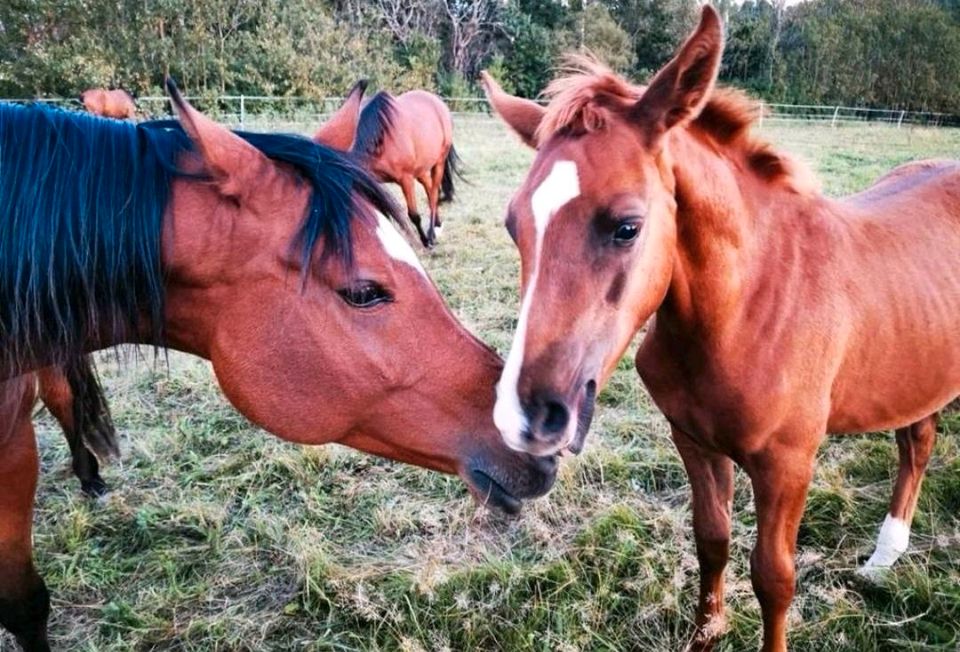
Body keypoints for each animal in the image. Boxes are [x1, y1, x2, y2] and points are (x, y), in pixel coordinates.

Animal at [316, 83, 464, 250]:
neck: (379, 138)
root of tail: (438, 103)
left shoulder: (406, 179)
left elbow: (414, 215)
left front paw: (426, 241)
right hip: (421, 168)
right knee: (429, 187)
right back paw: (437, 225)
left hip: (438, 163)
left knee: (433, 195)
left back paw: (432, 234)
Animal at [484, 6, 960, 652]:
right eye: (514, 224)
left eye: (628, 226)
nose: (526, 418)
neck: (745, 312)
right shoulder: (693, 441)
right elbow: (711, 539)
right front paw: (705, 633)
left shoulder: (788, 465)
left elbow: (774, 577)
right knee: (917, 442)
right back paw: (886, 557)